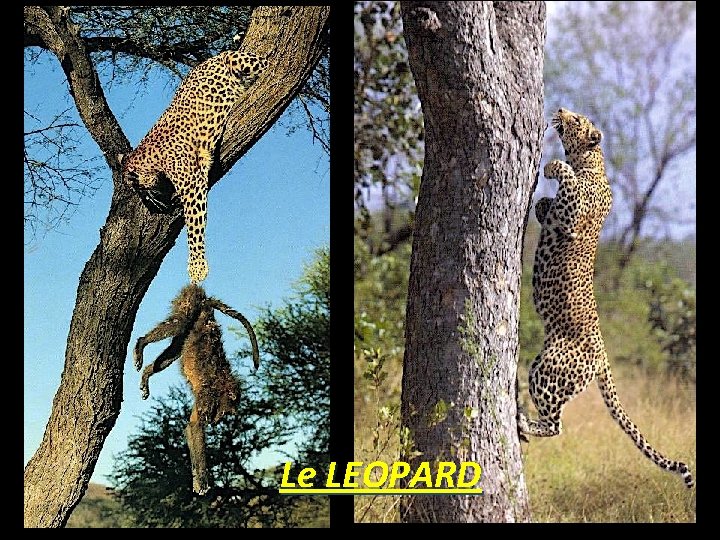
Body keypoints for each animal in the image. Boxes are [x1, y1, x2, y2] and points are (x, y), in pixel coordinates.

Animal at [120, 49, 268, 283]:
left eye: (137, 189)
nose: (148, 202)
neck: (151, 156)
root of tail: (212, 57)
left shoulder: (192, 184)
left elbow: (194, 226)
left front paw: (197, 267)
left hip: (236, 59)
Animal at [518, 108, 693, 489]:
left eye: (577, 119)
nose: (560, 109)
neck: (592, 162)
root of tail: (602, 355)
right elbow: (543, 203)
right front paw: (543, 200)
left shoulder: (574, 211)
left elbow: (564, 179)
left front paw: (551, 168)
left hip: (550, 367)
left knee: (556, 425)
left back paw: (524, 421)